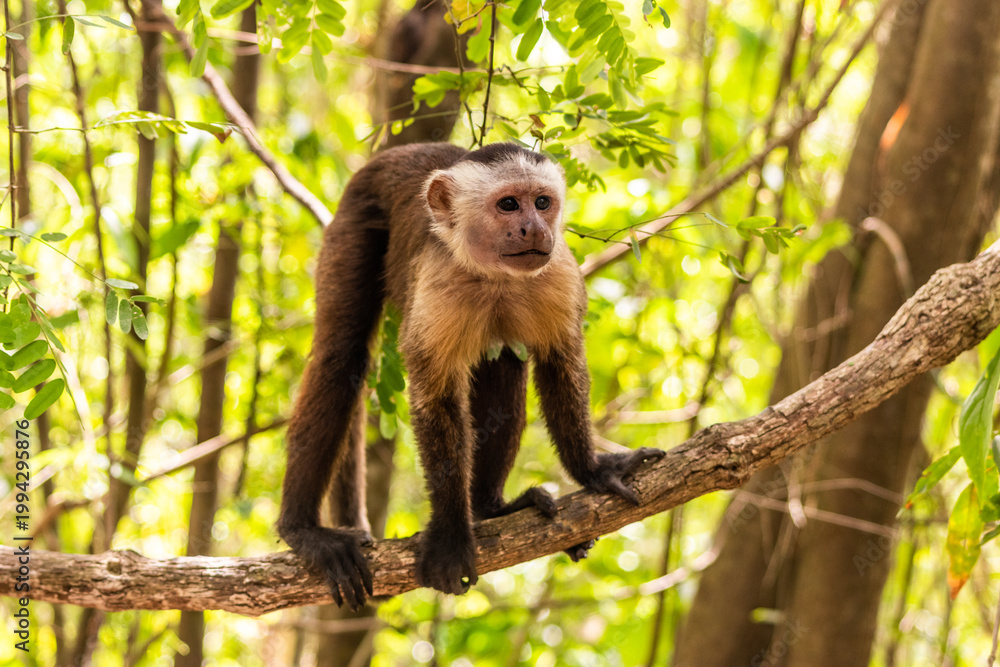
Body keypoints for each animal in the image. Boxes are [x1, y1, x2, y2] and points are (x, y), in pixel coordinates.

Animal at [278, 142, 665, 609]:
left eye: (542, 202)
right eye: (509, 205)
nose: (535, 228)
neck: (494, 275)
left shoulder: (558, 274)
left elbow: (560, 363)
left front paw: (591, 470)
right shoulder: (436, 284)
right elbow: (436, 399)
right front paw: (450, 537)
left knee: (505, 358)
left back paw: (489, 509)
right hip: (355, 217)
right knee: (341, 359)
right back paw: (303, 531)